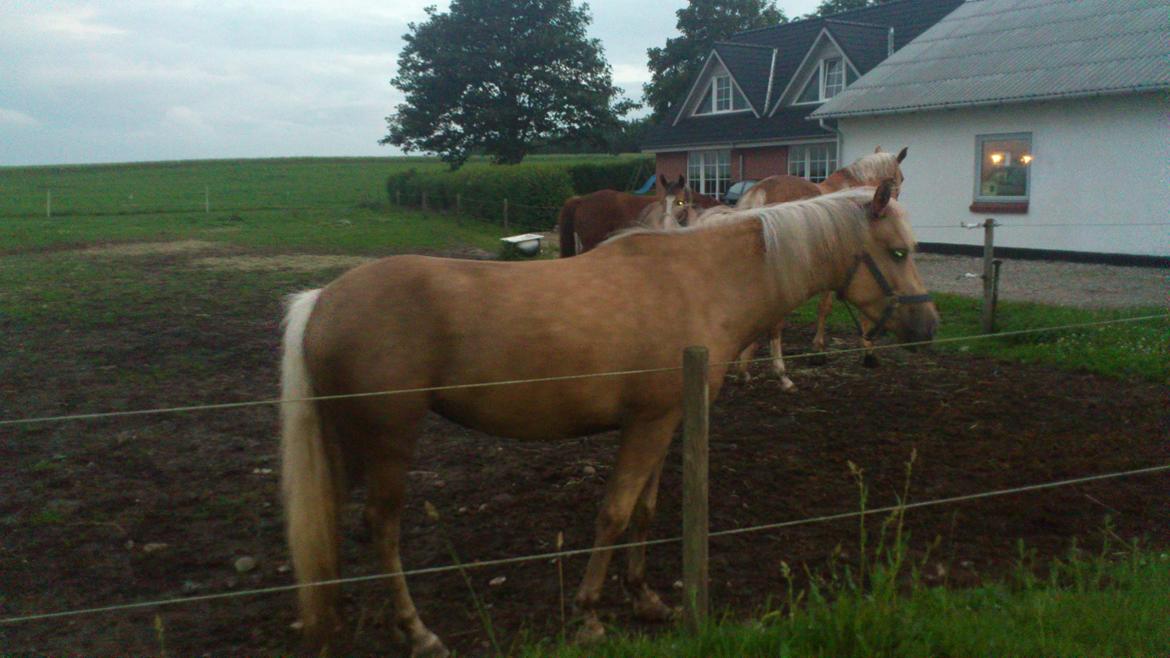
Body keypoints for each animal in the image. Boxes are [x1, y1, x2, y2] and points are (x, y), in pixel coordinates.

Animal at [725, 145, 907, 386]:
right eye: (900, 178)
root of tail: (760, 191)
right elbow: (828, 307)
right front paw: (850, 351)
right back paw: (780, 373)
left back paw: (742, 367)